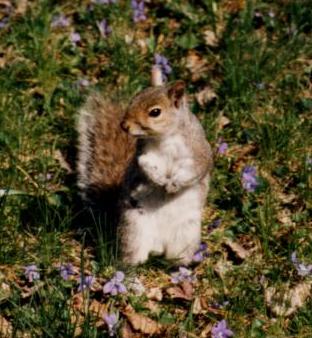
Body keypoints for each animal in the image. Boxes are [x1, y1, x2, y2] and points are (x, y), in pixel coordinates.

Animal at [77, 80, 213, 266]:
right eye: (133, 99)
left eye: (155, 112)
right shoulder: (144, 154)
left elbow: (193, 170)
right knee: (132, 259)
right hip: (133, 230)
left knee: (175, 259)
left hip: (186, 235)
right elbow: (146, 165)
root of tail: (159, 246)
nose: (124, 125)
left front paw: (173, 185)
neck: (165, 137)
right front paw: (158, 181)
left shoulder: (198, 152)